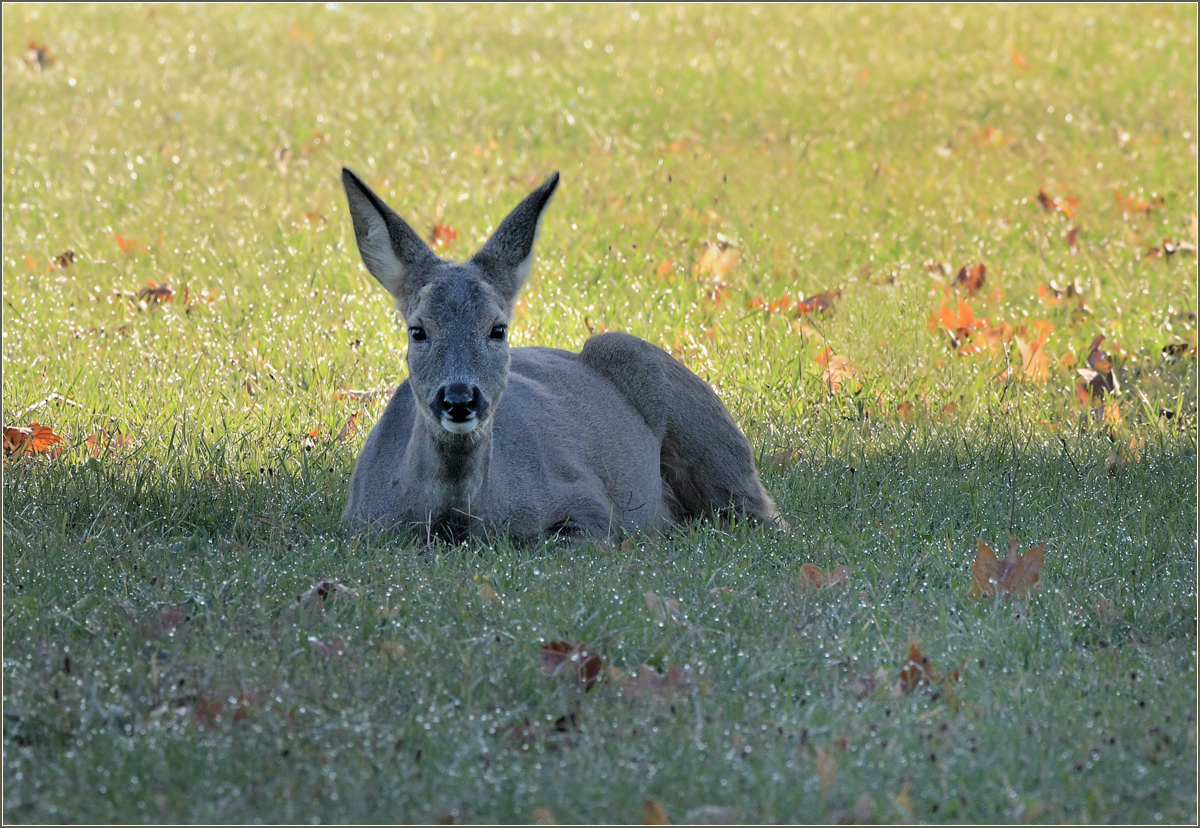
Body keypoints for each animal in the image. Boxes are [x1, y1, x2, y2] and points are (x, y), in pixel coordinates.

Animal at [343, 166, 782, 542]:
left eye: (498, 329)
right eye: (418, 330)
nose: (459, 399)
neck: (455, 520)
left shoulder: (586, 500)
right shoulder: (361, 523)